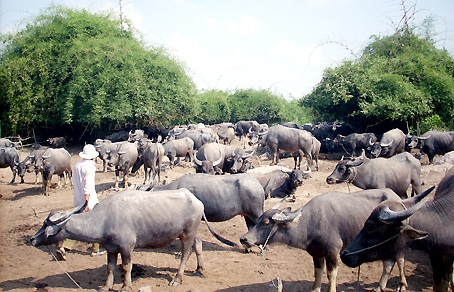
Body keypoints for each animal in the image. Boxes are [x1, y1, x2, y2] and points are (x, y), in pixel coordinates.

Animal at [32, 188, 207, 290]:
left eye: (45, 224)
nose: (32, 239)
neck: (104, 219)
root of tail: (196, 200)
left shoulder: (126, 248)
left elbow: (126, 267)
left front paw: (126, 286)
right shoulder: (111, 249)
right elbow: (110, 268)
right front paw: (106, 286)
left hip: (187, 234)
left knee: (185, 254)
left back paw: (177, 279)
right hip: (190, 233)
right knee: (198, 244)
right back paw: (199, 269)